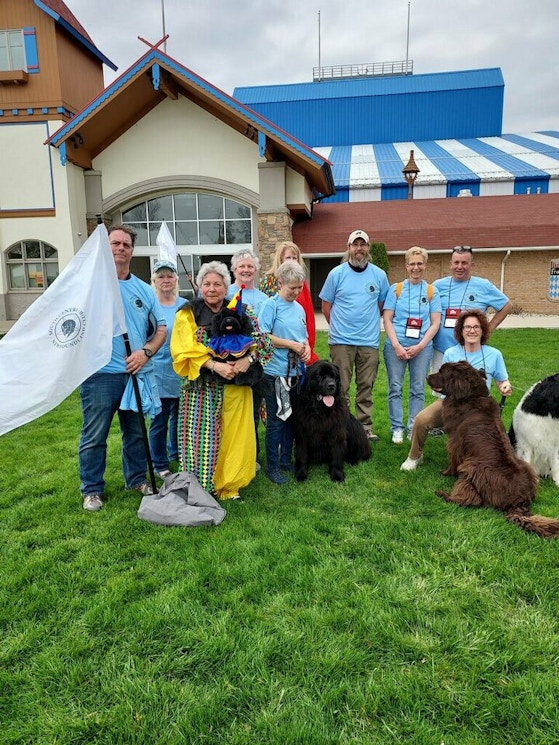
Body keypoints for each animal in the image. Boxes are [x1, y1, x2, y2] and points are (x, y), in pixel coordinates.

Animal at [426, 358, 559, 536]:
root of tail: (519, 501)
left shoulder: (455, 442)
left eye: (441, 372)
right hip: (527, 467)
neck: (471, 397)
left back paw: (443, 494)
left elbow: (452, 461)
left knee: (470, 500)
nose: (427, 377)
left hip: (471, 468)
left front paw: (445, 473)